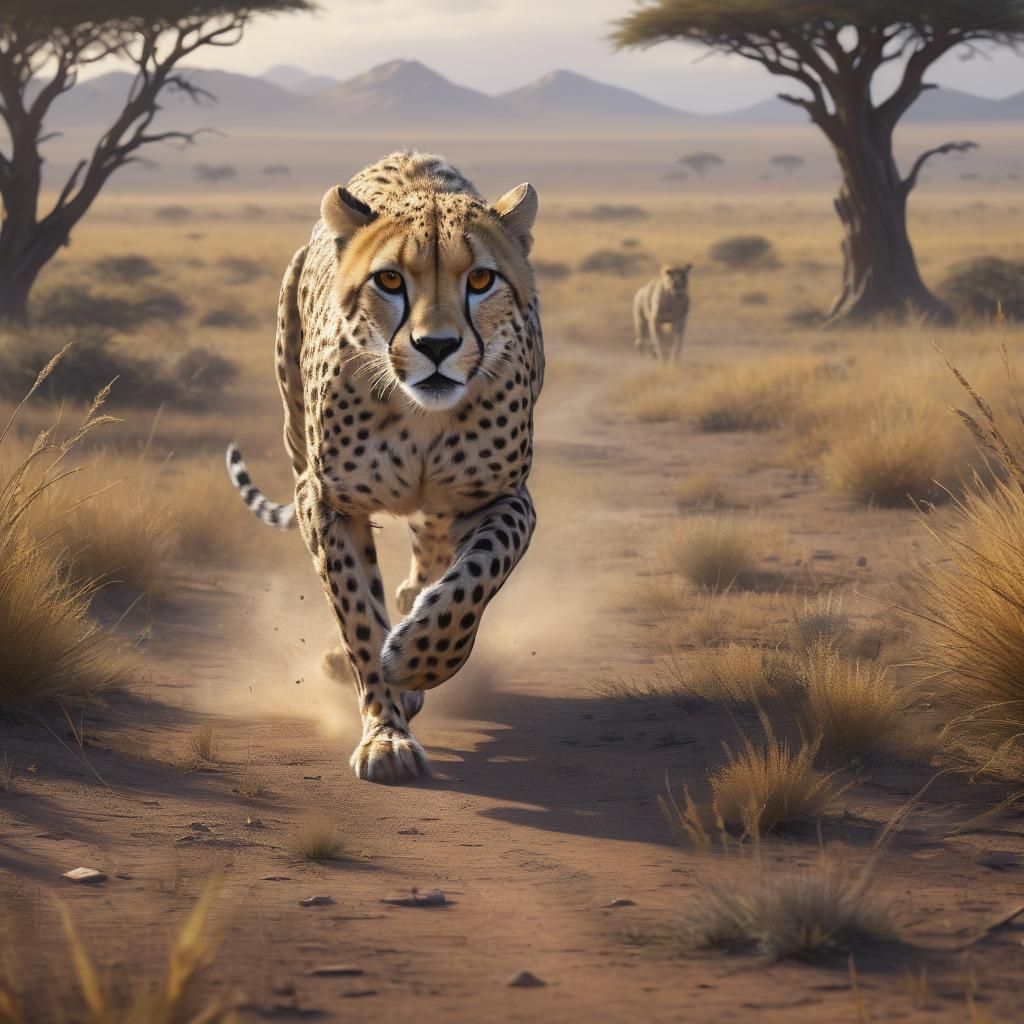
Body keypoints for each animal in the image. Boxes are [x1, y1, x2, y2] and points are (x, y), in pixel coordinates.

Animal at [226, 150, 543, 785]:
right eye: (390, 280)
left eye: (481, 280)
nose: (437, 346)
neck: (419, 416)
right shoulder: (326, 501)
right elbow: (357, 614)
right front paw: (386, 732)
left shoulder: (503, 497)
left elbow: (475, 577)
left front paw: (420, 658)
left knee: (432, 553)